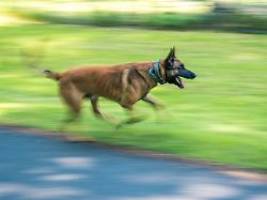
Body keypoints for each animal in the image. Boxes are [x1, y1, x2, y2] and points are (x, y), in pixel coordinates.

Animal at [44, 47, 197, 126]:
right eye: (181, 67)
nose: (195, 74)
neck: (153, 71)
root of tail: (62, 74)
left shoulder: (145, 96)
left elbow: (159, 104)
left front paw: (164, 119)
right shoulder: (126, 103)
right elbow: (138, 116)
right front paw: (128, 122)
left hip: (92, 98)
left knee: (94, 113)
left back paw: (112, 122)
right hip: (77, 104)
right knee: (72, 120)